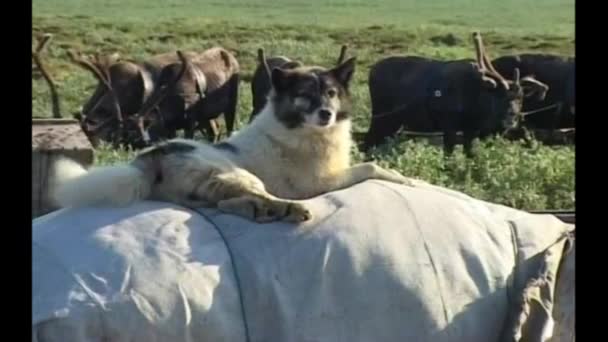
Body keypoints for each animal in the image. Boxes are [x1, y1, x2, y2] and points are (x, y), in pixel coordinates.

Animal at [52, 57, 426, 223]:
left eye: (332, 93)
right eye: (306, 96)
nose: (326, 114)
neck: (302, 129)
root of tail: (150, 157)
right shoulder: (319, 183)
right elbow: (372, 166)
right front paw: (410, 180)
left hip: (210, 190)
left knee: (225, 205)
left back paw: (261, 212)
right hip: (237, 174)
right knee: (255, 197)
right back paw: (289, 210)